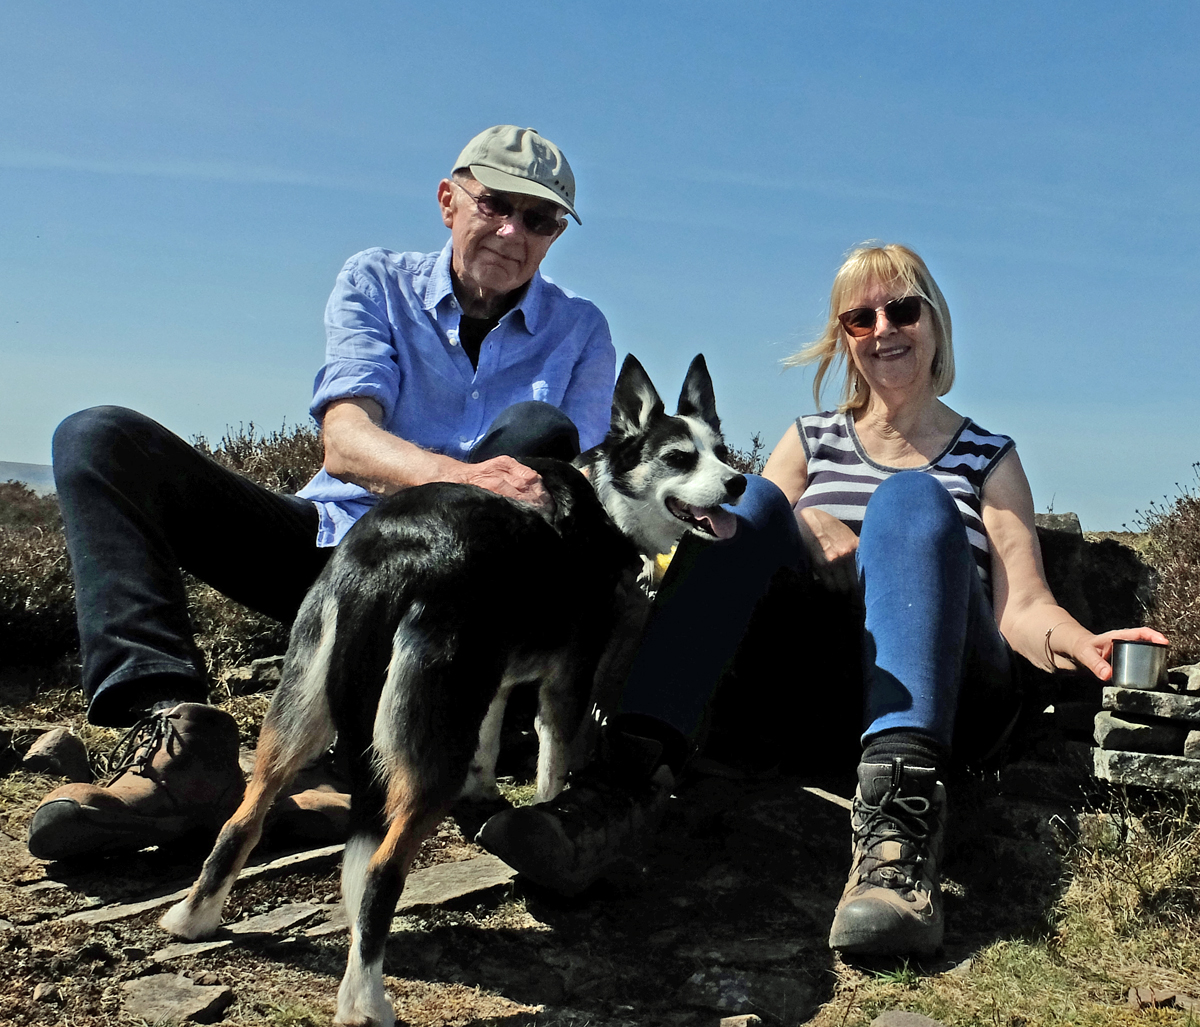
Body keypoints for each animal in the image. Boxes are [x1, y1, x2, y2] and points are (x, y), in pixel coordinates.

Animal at [161, 354, 745, 1027]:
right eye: (679, 458)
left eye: (722, 452)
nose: (739, 484)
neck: (605, 503)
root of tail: (387, 561)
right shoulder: (567, 680)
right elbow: (554, 764)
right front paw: (550, 815)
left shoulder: (492, 678)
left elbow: (490, 740)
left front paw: (485, 794)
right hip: (428, 739)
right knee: (381, 872)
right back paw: (365, 1001)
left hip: (303, 709)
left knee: (242, 820)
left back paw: (193, 918)